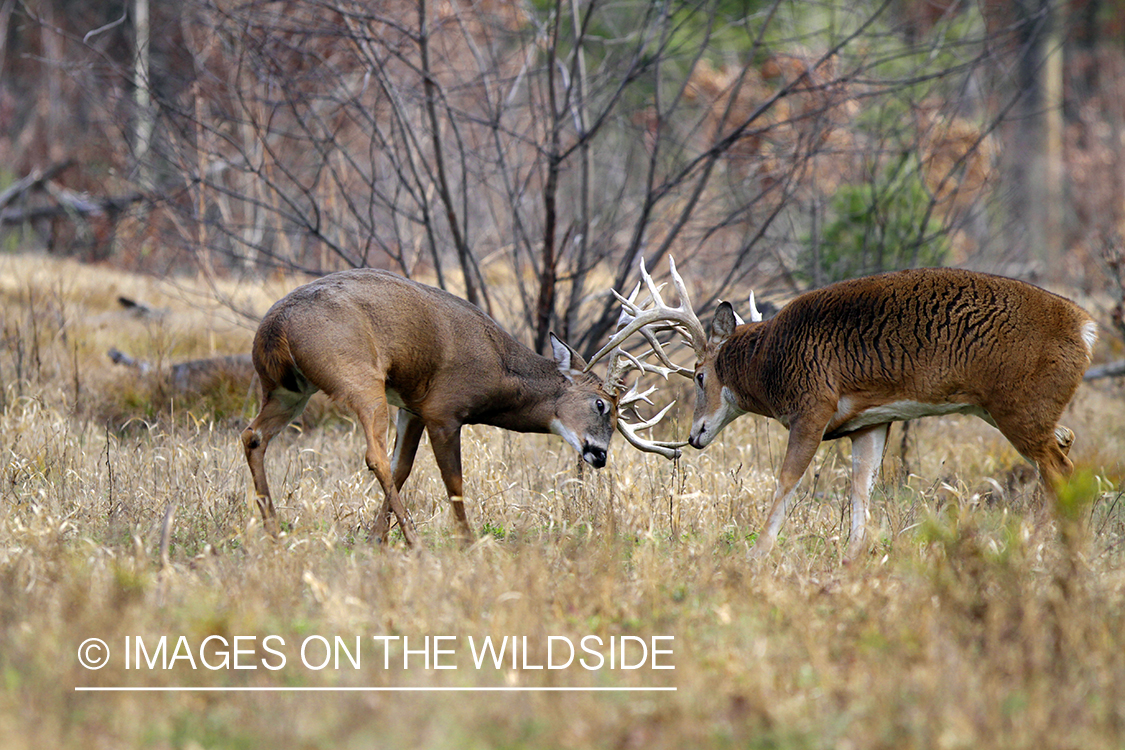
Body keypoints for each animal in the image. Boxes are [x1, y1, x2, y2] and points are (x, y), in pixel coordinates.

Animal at [239, 268, 675, 546]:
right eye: (600, 404)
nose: (599, 455)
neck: (498, 373)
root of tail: (276, 327)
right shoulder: (444, 410)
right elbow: (454, 482)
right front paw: (466, 541)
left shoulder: (413, 407)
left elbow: (403, 468)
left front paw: (375, 538)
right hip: (359, 377)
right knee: (371, 454)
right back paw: (415, 540)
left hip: (288, 389)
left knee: (253, 435)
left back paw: (273, 530)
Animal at [589, 260, 1098, 559]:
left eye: (698, 375)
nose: (694, 436)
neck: (771, 360)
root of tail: (1086, 328)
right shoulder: (869, 423)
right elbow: (861, 489)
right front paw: (852, 558)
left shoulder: (813, 405)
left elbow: (786, 481)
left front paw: (756, 556)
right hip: (1017, 411)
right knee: (1066, 446)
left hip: (1020, 408)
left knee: (1061, 470)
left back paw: (1039, 549)